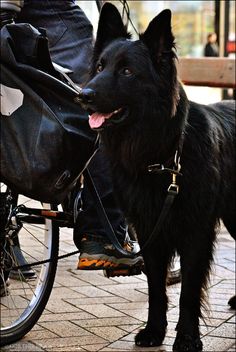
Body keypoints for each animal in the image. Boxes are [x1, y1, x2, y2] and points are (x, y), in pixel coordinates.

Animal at [79, 3, 234, 352]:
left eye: (126, 72)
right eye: (100, 66)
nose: (83, 95)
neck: (161, 156)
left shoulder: (195, 233)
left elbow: (188, 292)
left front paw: (187, 337)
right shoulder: (149, 231)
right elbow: (155, 289)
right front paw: (154, 331)